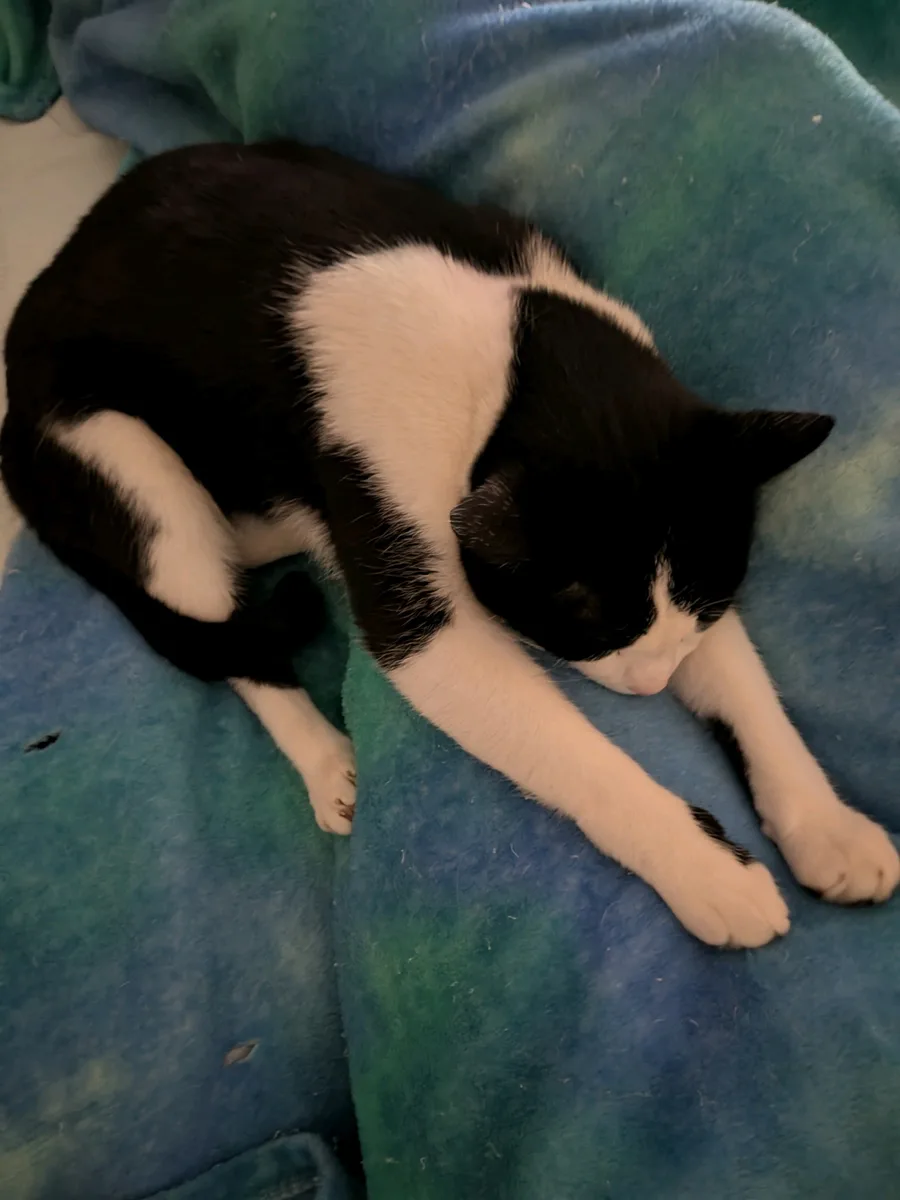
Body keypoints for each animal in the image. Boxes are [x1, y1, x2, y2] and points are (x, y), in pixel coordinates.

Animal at [3, 140, 897, 948]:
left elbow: (744, 686)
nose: (649, 686)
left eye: (710, 594)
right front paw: (706, 870)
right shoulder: (412, 575)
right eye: (584, 613)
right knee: (221, 620)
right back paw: (326, 757)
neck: (509, 360)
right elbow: (576, 756)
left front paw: (828, 824)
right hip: (119, 453)